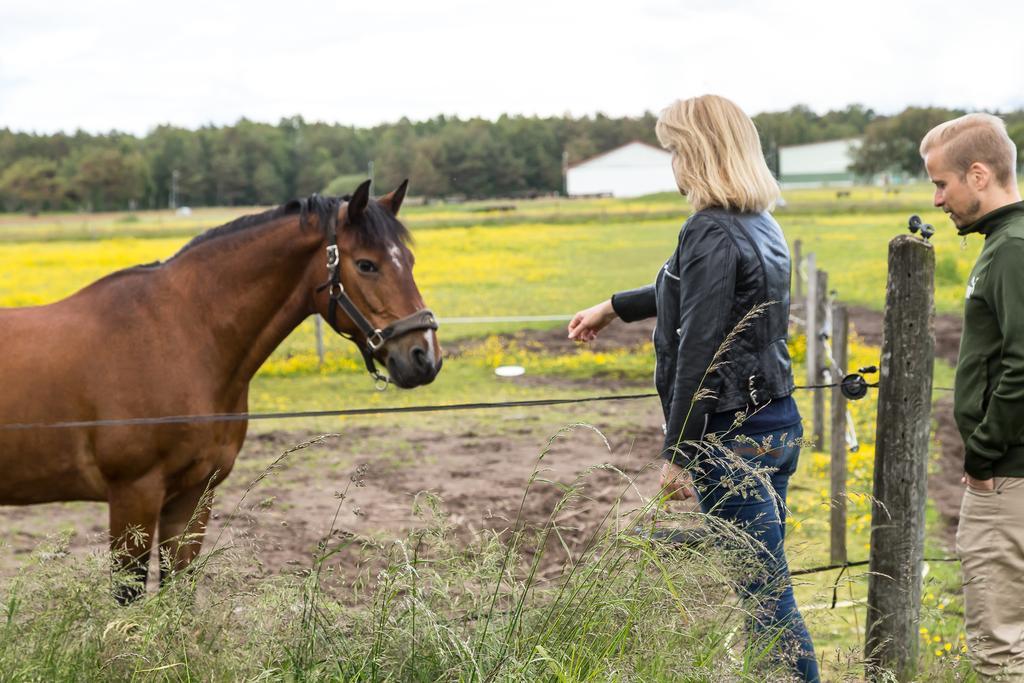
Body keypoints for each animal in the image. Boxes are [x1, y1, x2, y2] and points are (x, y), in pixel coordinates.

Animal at [0, 180, 436, 598]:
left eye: (411, 261)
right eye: (366, 264)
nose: (424, 356)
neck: (179, 334)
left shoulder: (193, 496)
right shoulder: (133, 494)